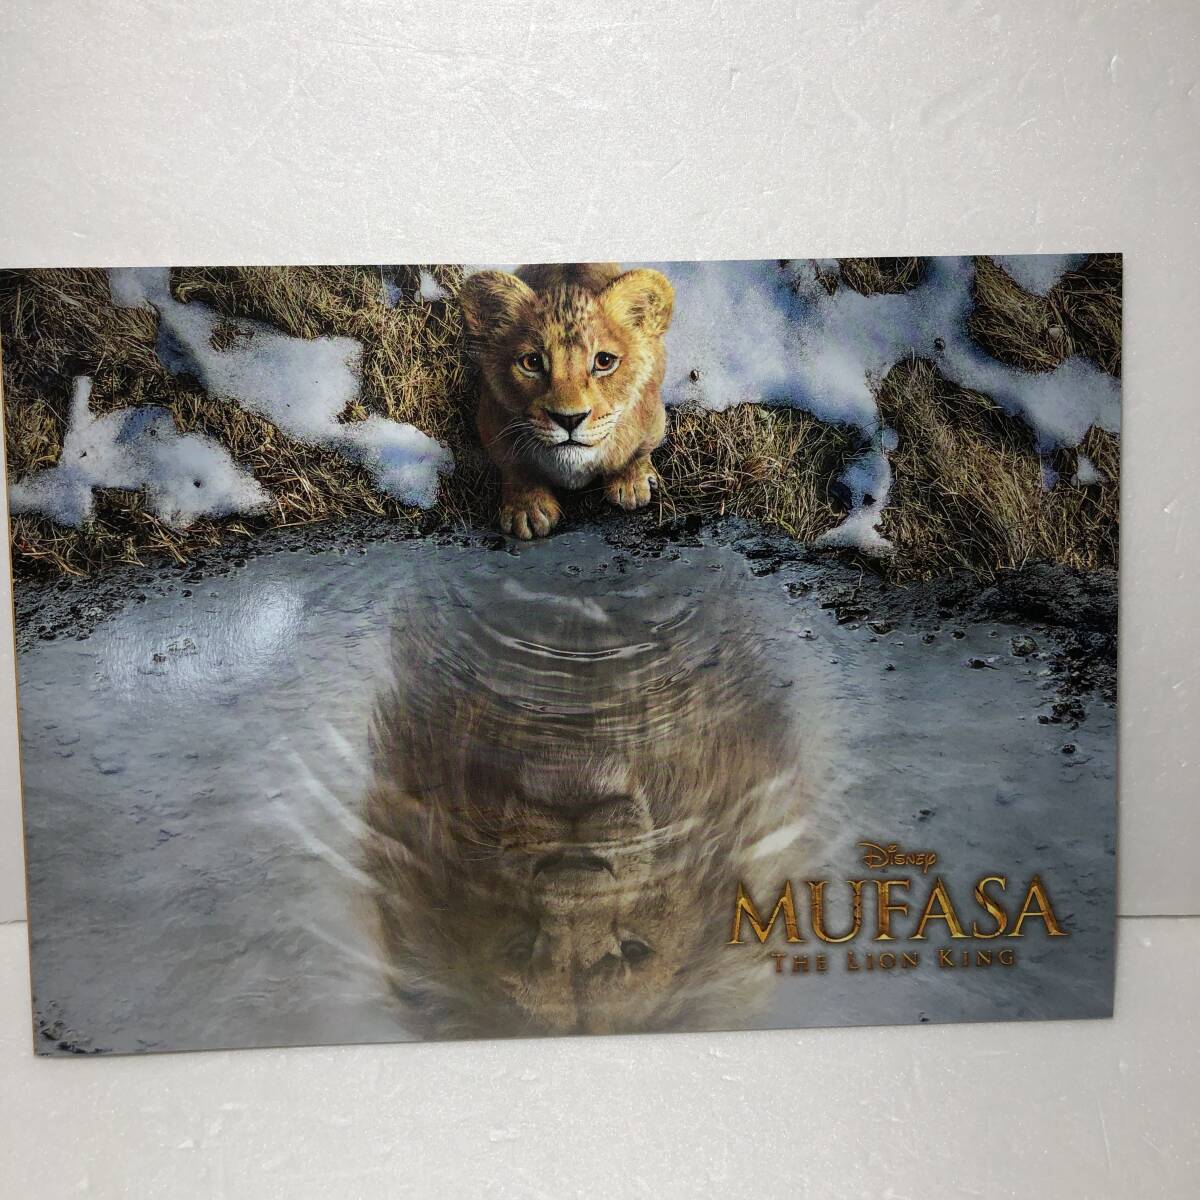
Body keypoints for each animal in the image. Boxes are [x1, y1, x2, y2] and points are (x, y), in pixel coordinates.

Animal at [458, 263, 674, 539]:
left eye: (604, 361)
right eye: (532, 362)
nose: (569, 419)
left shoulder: (653, 416)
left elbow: (638, 450)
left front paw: (631, 483)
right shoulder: (491, 420)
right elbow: (514, 465)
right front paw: (527, 509)